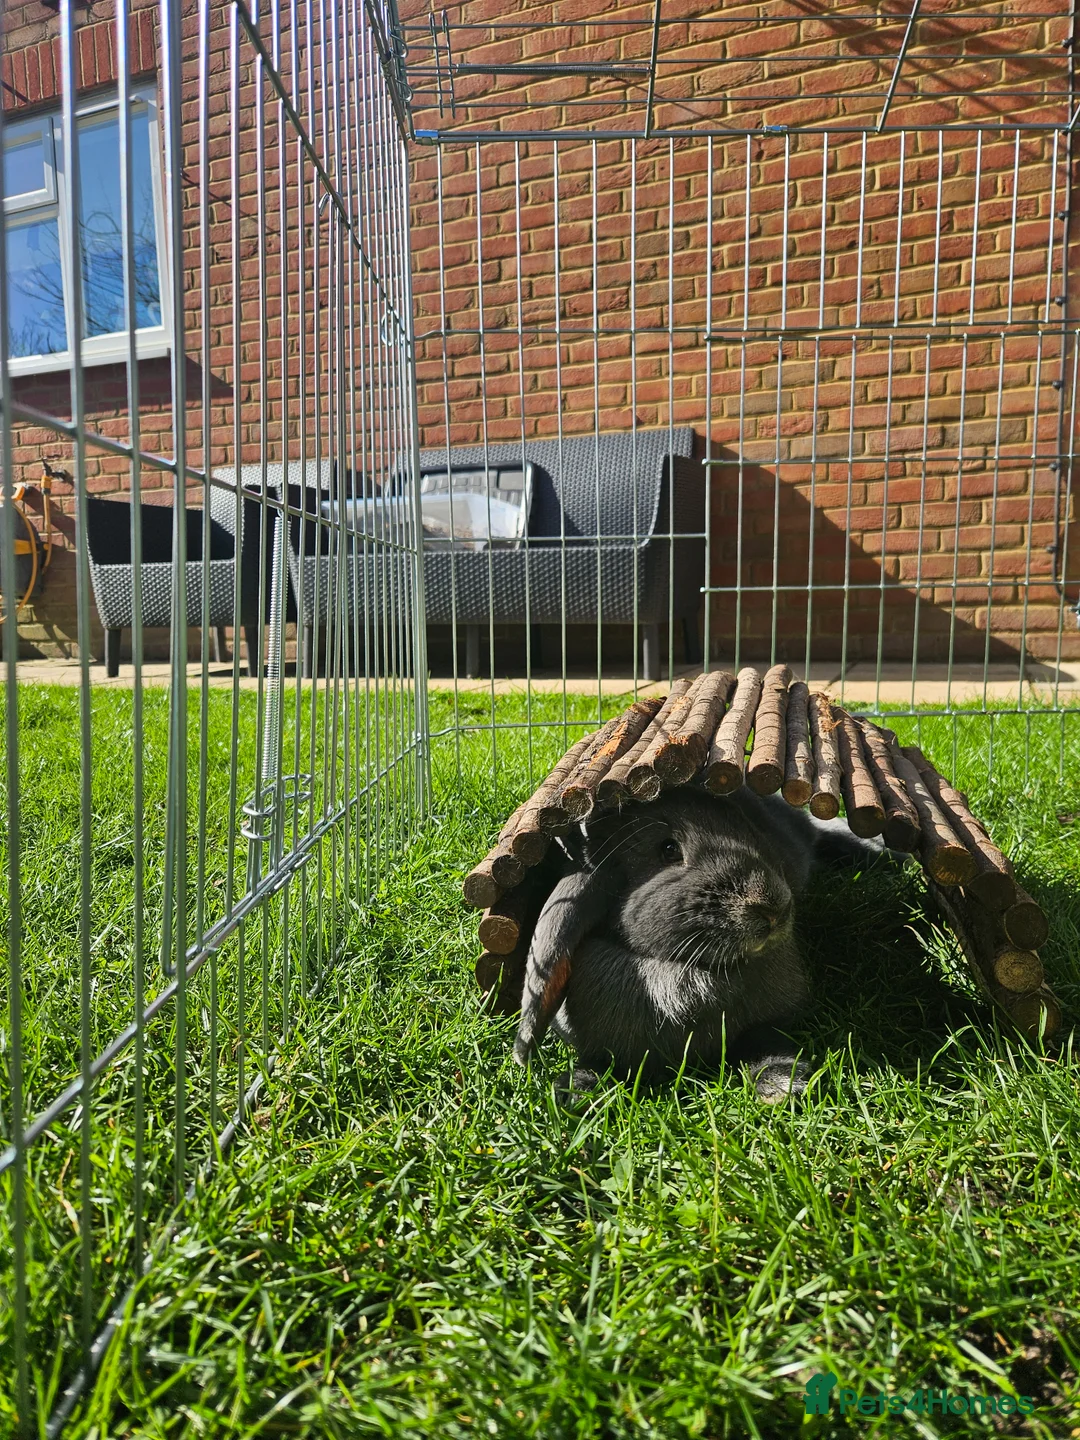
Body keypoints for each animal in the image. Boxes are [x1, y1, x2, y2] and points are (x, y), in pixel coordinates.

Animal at [514, 786, 887, 1101]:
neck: (679, 970)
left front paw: (782, 1086)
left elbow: (763, 1044)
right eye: (667, 849)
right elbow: (599, 1064)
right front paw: (574, 1092)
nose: (772, 909)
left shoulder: (761, 1026)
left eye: (746, 828)